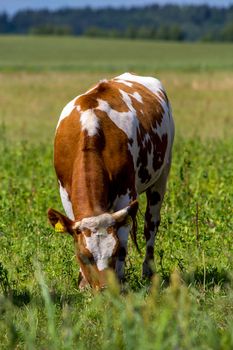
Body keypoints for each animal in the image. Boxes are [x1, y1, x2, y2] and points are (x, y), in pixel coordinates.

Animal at [47, 73, 175, 290]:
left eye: (114, 253)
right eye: (84, 256)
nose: (104, 288)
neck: (89, 133)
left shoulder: (126, 196)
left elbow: (123, 239)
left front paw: (120, 279)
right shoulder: (65, 194)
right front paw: (83, 283)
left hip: (161, 176)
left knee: (151, 224)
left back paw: (148, 271)